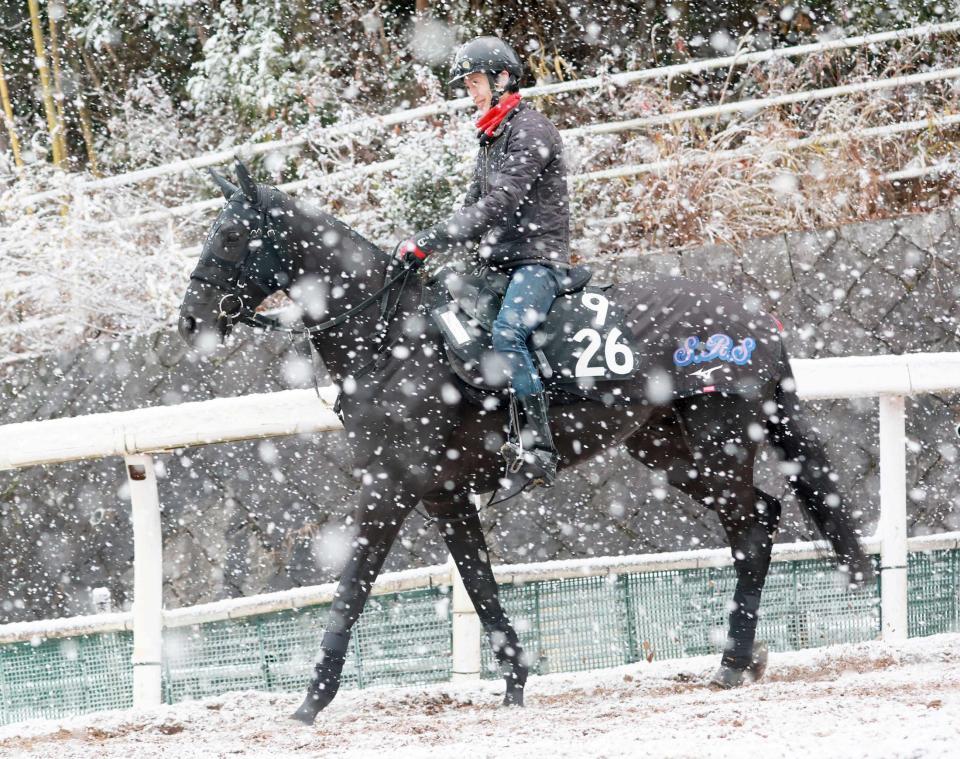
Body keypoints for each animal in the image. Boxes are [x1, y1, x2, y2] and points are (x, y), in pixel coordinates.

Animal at [176, 165, 872, 724]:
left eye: (231, 236)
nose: (189, 320)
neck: (392, 339)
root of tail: (757, 318)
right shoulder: (445, 495)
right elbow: (479, 585)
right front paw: (513, 681)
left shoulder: (391, 487)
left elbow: (351, 588)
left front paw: (311, 701)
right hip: (670, 452)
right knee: (758, 518)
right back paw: (741, 657)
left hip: (718, 443)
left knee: (753, 526)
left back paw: (732, 660)